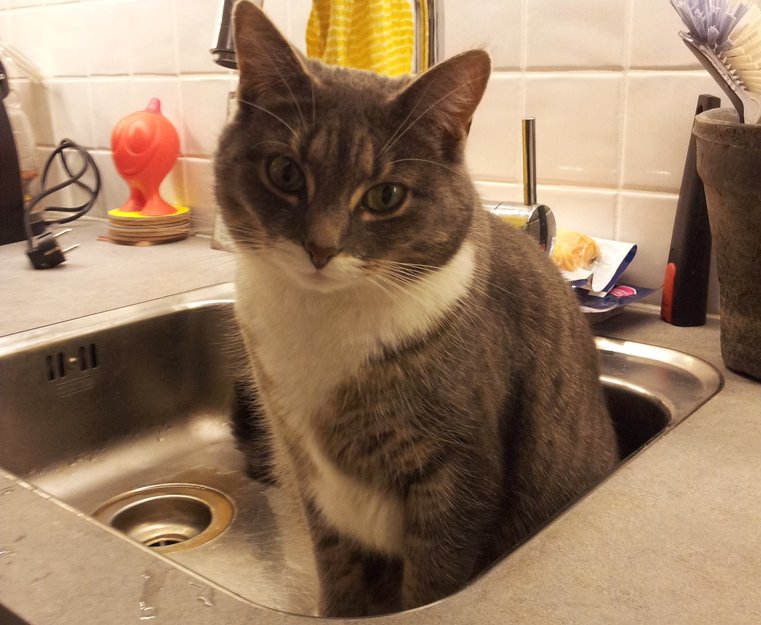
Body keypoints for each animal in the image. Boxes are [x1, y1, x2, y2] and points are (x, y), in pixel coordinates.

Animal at [215, 1, 619, 617]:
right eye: (285, 172)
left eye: (385, 196)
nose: (320, 249)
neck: (323, 316)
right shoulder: (307, 474)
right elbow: (336, 569)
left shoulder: (456, 475)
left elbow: (435, 579)